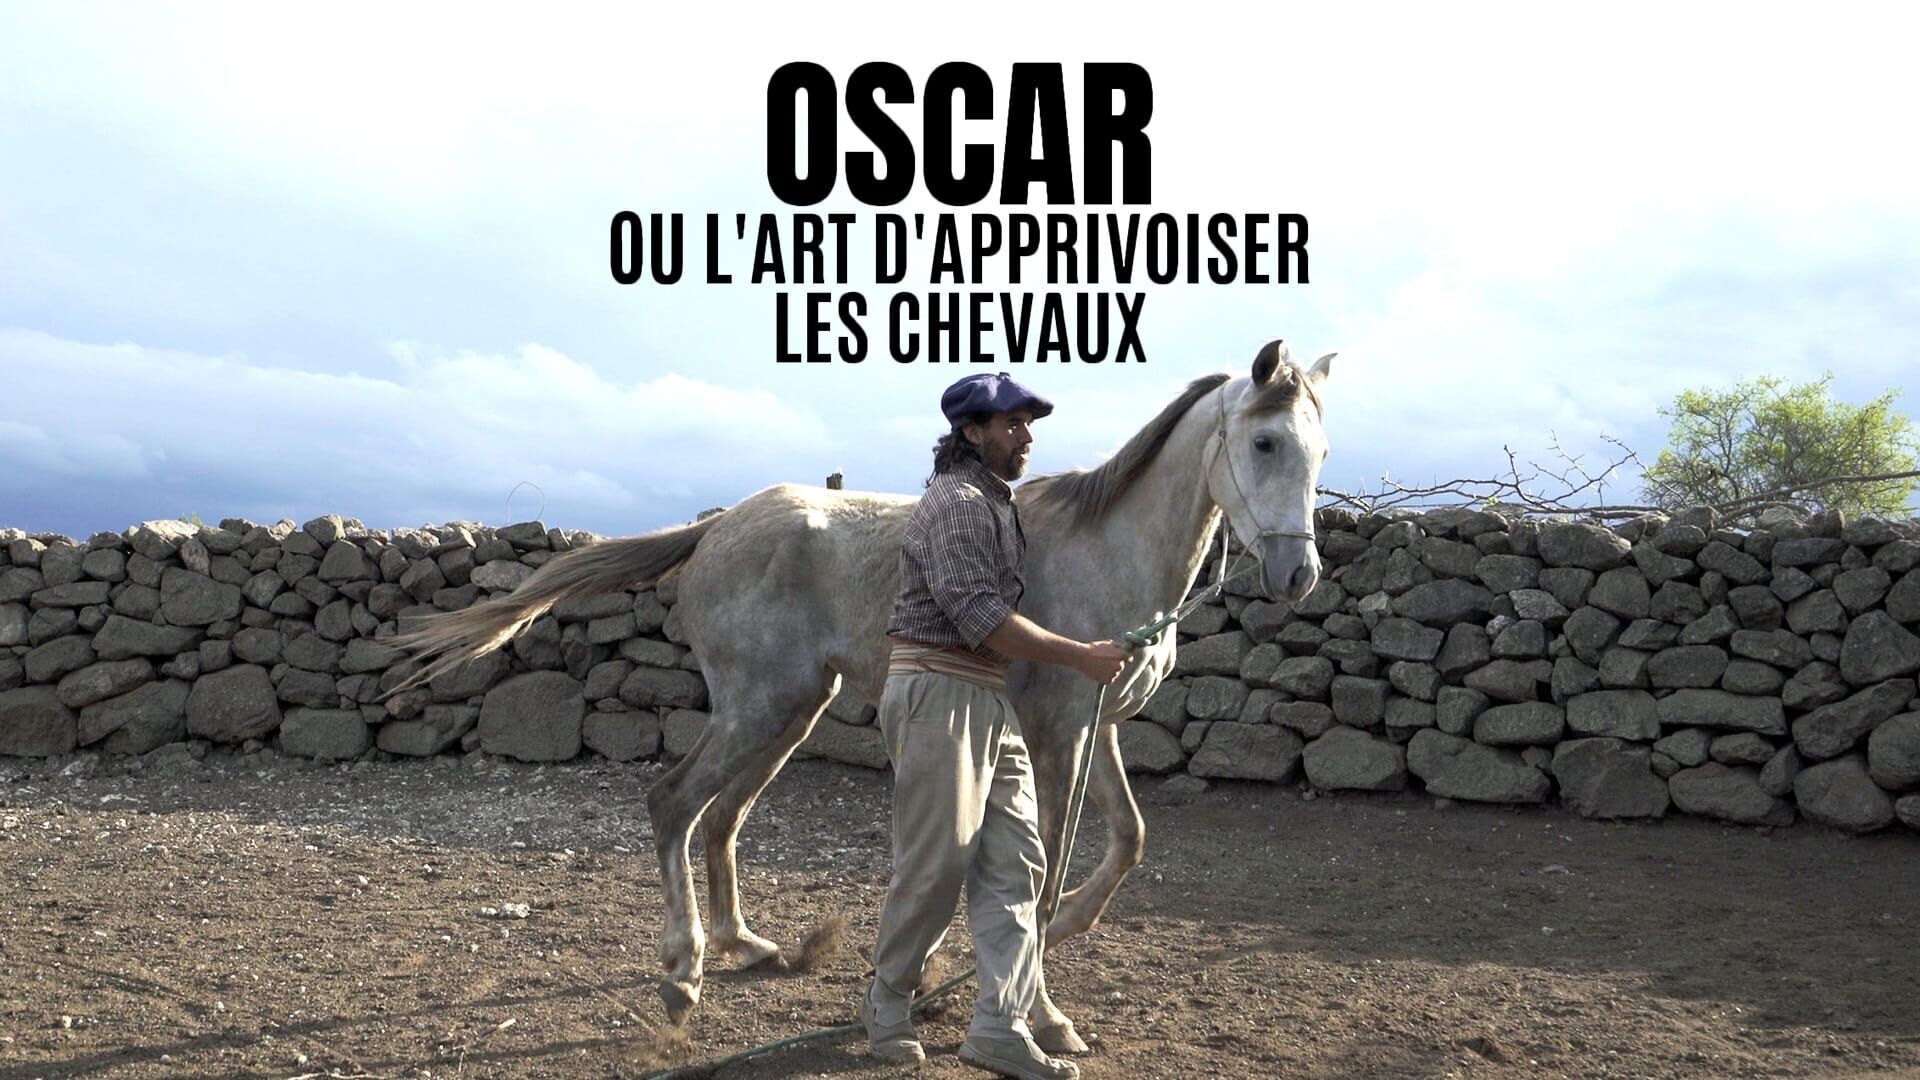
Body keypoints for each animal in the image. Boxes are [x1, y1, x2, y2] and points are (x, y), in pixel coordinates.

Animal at [390, 339, 1334, 1051]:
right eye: (1264, 444)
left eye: (1319, 451)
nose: (1298, 576)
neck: (1109, 552)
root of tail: (718, 526)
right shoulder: (1058, 730)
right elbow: (1043, 874)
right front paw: (1041, 1010)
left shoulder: (1094, 726)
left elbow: (1127, 841)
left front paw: (1043, 956)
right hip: (760, 706)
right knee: (673, 803)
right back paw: (684, 973)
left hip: (789, 710)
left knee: (721, 815)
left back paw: (754, 947)